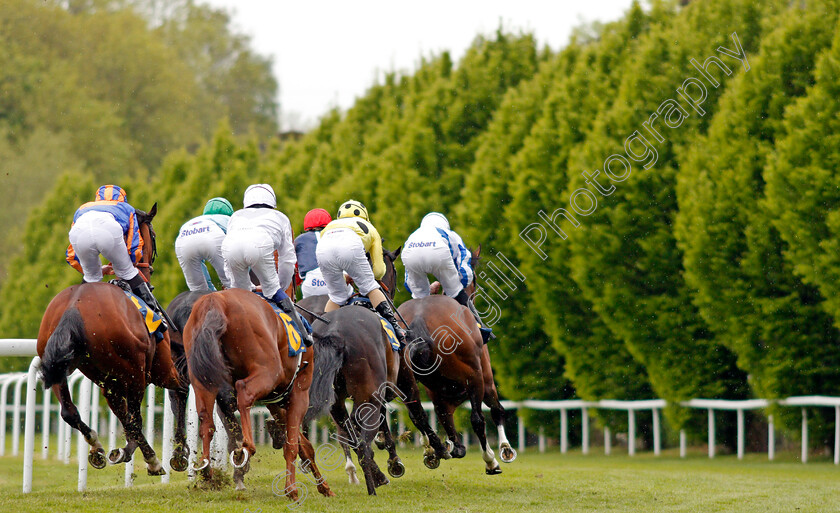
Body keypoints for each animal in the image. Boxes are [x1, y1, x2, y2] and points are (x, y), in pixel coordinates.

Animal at [38, 203, 189, 472]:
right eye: (153, 235)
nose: (150, 266)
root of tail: (74, 308)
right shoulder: (158, 368)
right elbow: (176, 392)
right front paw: (179, 453)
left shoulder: (110, 380)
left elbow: (124, 415)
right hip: (136, 372)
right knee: (137, 417)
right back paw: (150, 459)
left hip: (68, 367)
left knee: (70, 412)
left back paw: (97, 447)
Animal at [182, 288, 334, 496]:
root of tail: (216, 301)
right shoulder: (298, 394)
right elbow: (293, 445)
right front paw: (292, 489)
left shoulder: (275, 402)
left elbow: (303, 445)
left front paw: (324, 487)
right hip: (267, 372)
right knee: (243, 391)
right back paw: (245, 447)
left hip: (203, 379)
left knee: (206, 420)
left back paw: (206, 470)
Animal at [398, 246, 516, 474]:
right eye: (475, 279)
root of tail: (418, 319)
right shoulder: (485, 377)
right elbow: (496, 410)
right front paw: (505, 449)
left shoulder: (439, 394)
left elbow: (444, 418)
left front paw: (447, 447)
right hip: (475, 375)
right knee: (478, 419)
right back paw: (490, 461)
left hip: (405, 378)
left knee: (418, 414)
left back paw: (437, 450)